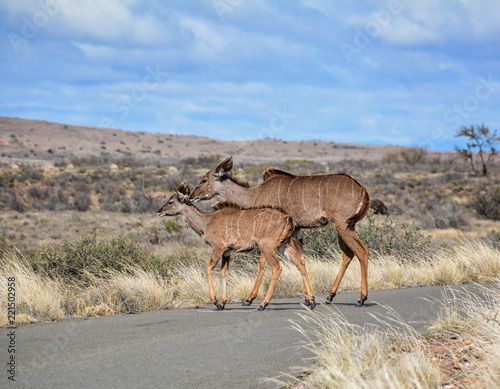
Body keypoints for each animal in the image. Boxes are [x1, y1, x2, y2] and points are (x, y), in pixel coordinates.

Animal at [158, 181, 314, 310]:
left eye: (170, 201)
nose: (159, 211)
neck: (207, 222)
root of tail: (287, 218)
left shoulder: (218, 248)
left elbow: (208, 268)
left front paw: (215, 301)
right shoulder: (227, 251)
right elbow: (224, 271)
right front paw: (222, 303)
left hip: (267, 246)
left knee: (277, 267)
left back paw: (263, 304)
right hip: (284, 245)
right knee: (300, 263)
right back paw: (311, 301)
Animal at [190, 156, 372, 304]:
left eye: (204, 180)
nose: (192, 196)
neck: (254, 193)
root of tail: (362, 189)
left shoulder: (267, 235)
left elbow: (263, 262)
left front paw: (250, 298)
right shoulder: (296, 229)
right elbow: (300, 259)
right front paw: (308, 299)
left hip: (341, 225)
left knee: (361, 251)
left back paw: (361, 298)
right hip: (346, 226)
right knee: (348, 254)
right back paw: (330, 295)